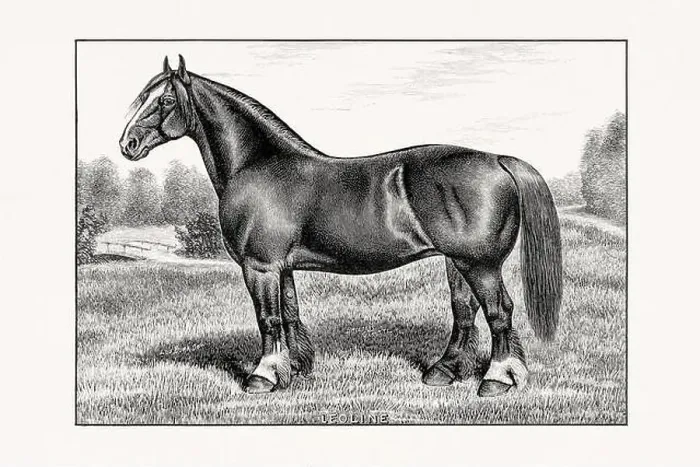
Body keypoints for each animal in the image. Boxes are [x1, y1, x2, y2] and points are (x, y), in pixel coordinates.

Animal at [120, 55, 562, 397]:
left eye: (164, 100)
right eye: (142, 97)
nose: (128, 144)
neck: (257, 165)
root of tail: (496, 159)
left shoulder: (260, 266)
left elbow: (268, 318)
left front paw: (263, 376)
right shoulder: (280, 267)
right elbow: (290, 313)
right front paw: (295, 367)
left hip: (480, 265)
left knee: (499, 311)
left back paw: (497, 379)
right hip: (457, 262)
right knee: (464, 312)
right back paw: (444, 371)